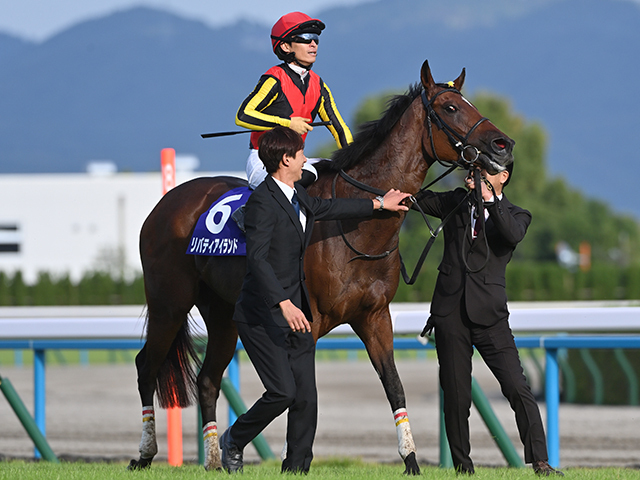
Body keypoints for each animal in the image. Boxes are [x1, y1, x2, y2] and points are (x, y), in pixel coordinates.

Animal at [129, 59, 516, 472]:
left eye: (471, 103)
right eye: (451, 108)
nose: (503, 145)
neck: (357, 224)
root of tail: (166, 203)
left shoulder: (375, 316)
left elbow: (394, 386)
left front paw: (410, 459)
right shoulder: (308, 321)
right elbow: (302, 392)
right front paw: (294, 461)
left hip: (222, 313)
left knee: (206, 380)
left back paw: (217, 459)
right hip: (169, 304)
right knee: (145, 367)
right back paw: (145, 453)